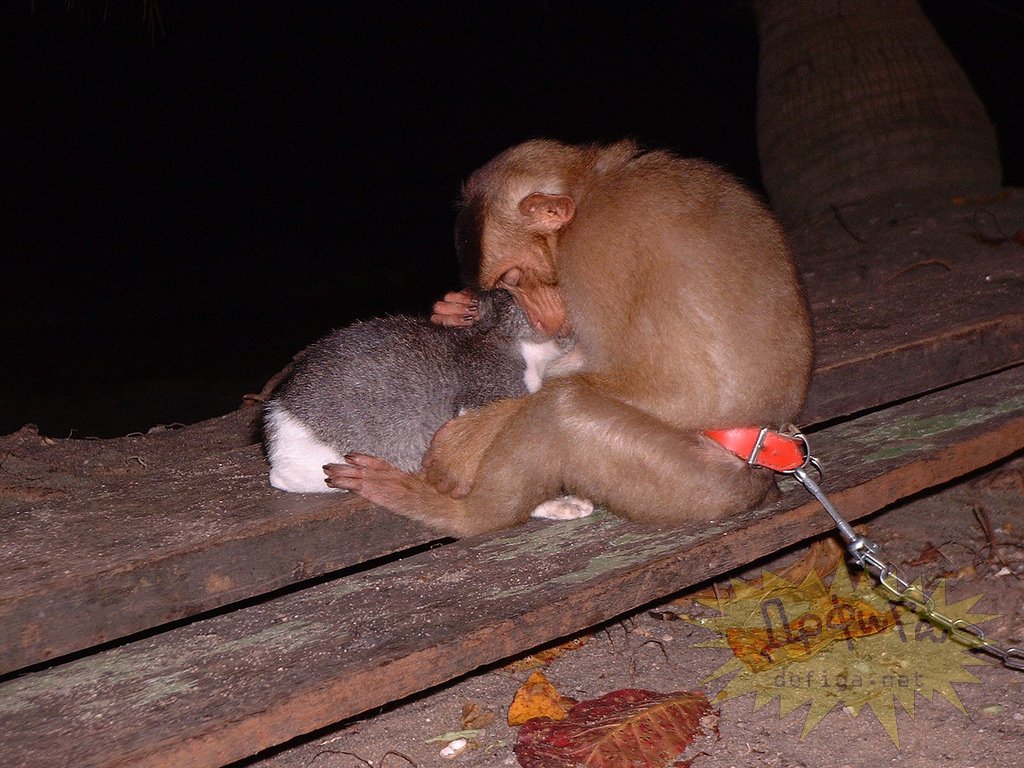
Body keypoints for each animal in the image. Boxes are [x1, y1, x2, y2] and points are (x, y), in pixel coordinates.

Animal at [323, 141, 811, 540]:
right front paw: (458, 311)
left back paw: (459, 515)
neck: (592, 188)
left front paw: (468, 438)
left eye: (512, 277)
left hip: (693, 485)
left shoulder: (597, 252)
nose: (539, 316)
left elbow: (684, 391)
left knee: (563, 409)